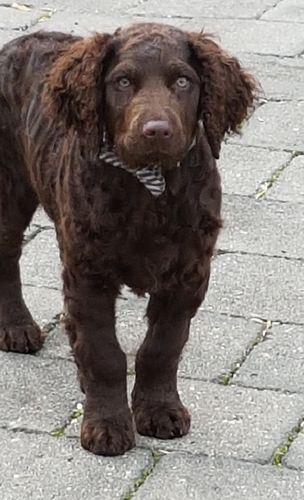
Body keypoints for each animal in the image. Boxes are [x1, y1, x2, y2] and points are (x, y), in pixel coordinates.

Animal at [0, 22, 258, 454]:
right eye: (122, 82)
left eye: (183, 81)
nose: (156, 131)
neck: (147, 187)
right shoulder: (88, 269)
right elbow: (104, 351)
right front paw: (106, 424)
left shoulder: (189, 273)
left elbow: (162, 346)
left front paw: (158, 410)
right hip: (10, 188)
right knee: (6, 257)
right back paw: (16, 328)